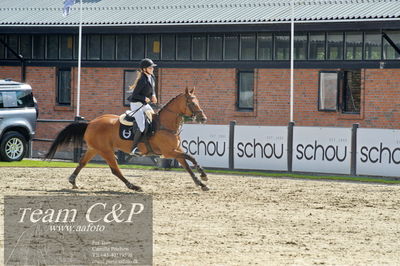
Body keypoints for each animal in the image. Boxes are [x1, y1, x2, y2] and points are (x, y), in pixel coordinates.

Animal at [44, 88, 209, 192]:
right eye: (192, 103)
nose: (203, 118)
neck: (165, 125)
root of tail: (90, 123)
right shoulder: (169, 152)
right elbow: (191, 157)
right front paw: (204, 175)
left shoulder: (176, 150)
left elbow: (187, 165)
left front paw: (201, 183)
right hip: (106, 151)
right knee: (115, 170)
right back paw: (133, 186)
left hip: (94, 149)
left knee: (82, 163)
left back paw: (73, 181)